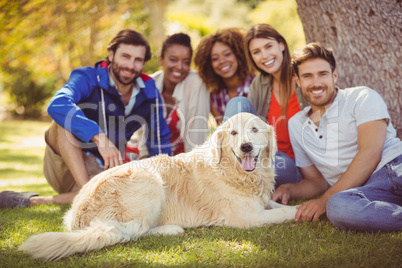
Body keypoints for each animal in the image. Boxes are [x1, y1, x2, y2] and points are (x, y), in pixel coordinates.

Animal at [18, 112, 296, 260]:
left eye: (255, 130)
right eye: (234, 134)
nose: (246, 147)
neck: (235, 171)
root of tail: (78, 217)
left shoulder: (259, 203)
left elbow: (275, 203)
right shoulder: (248, 217)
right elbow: (284, 212)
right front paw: (300, 212)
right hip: (150, 180)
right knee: (132, 233)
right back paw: (171, 229)